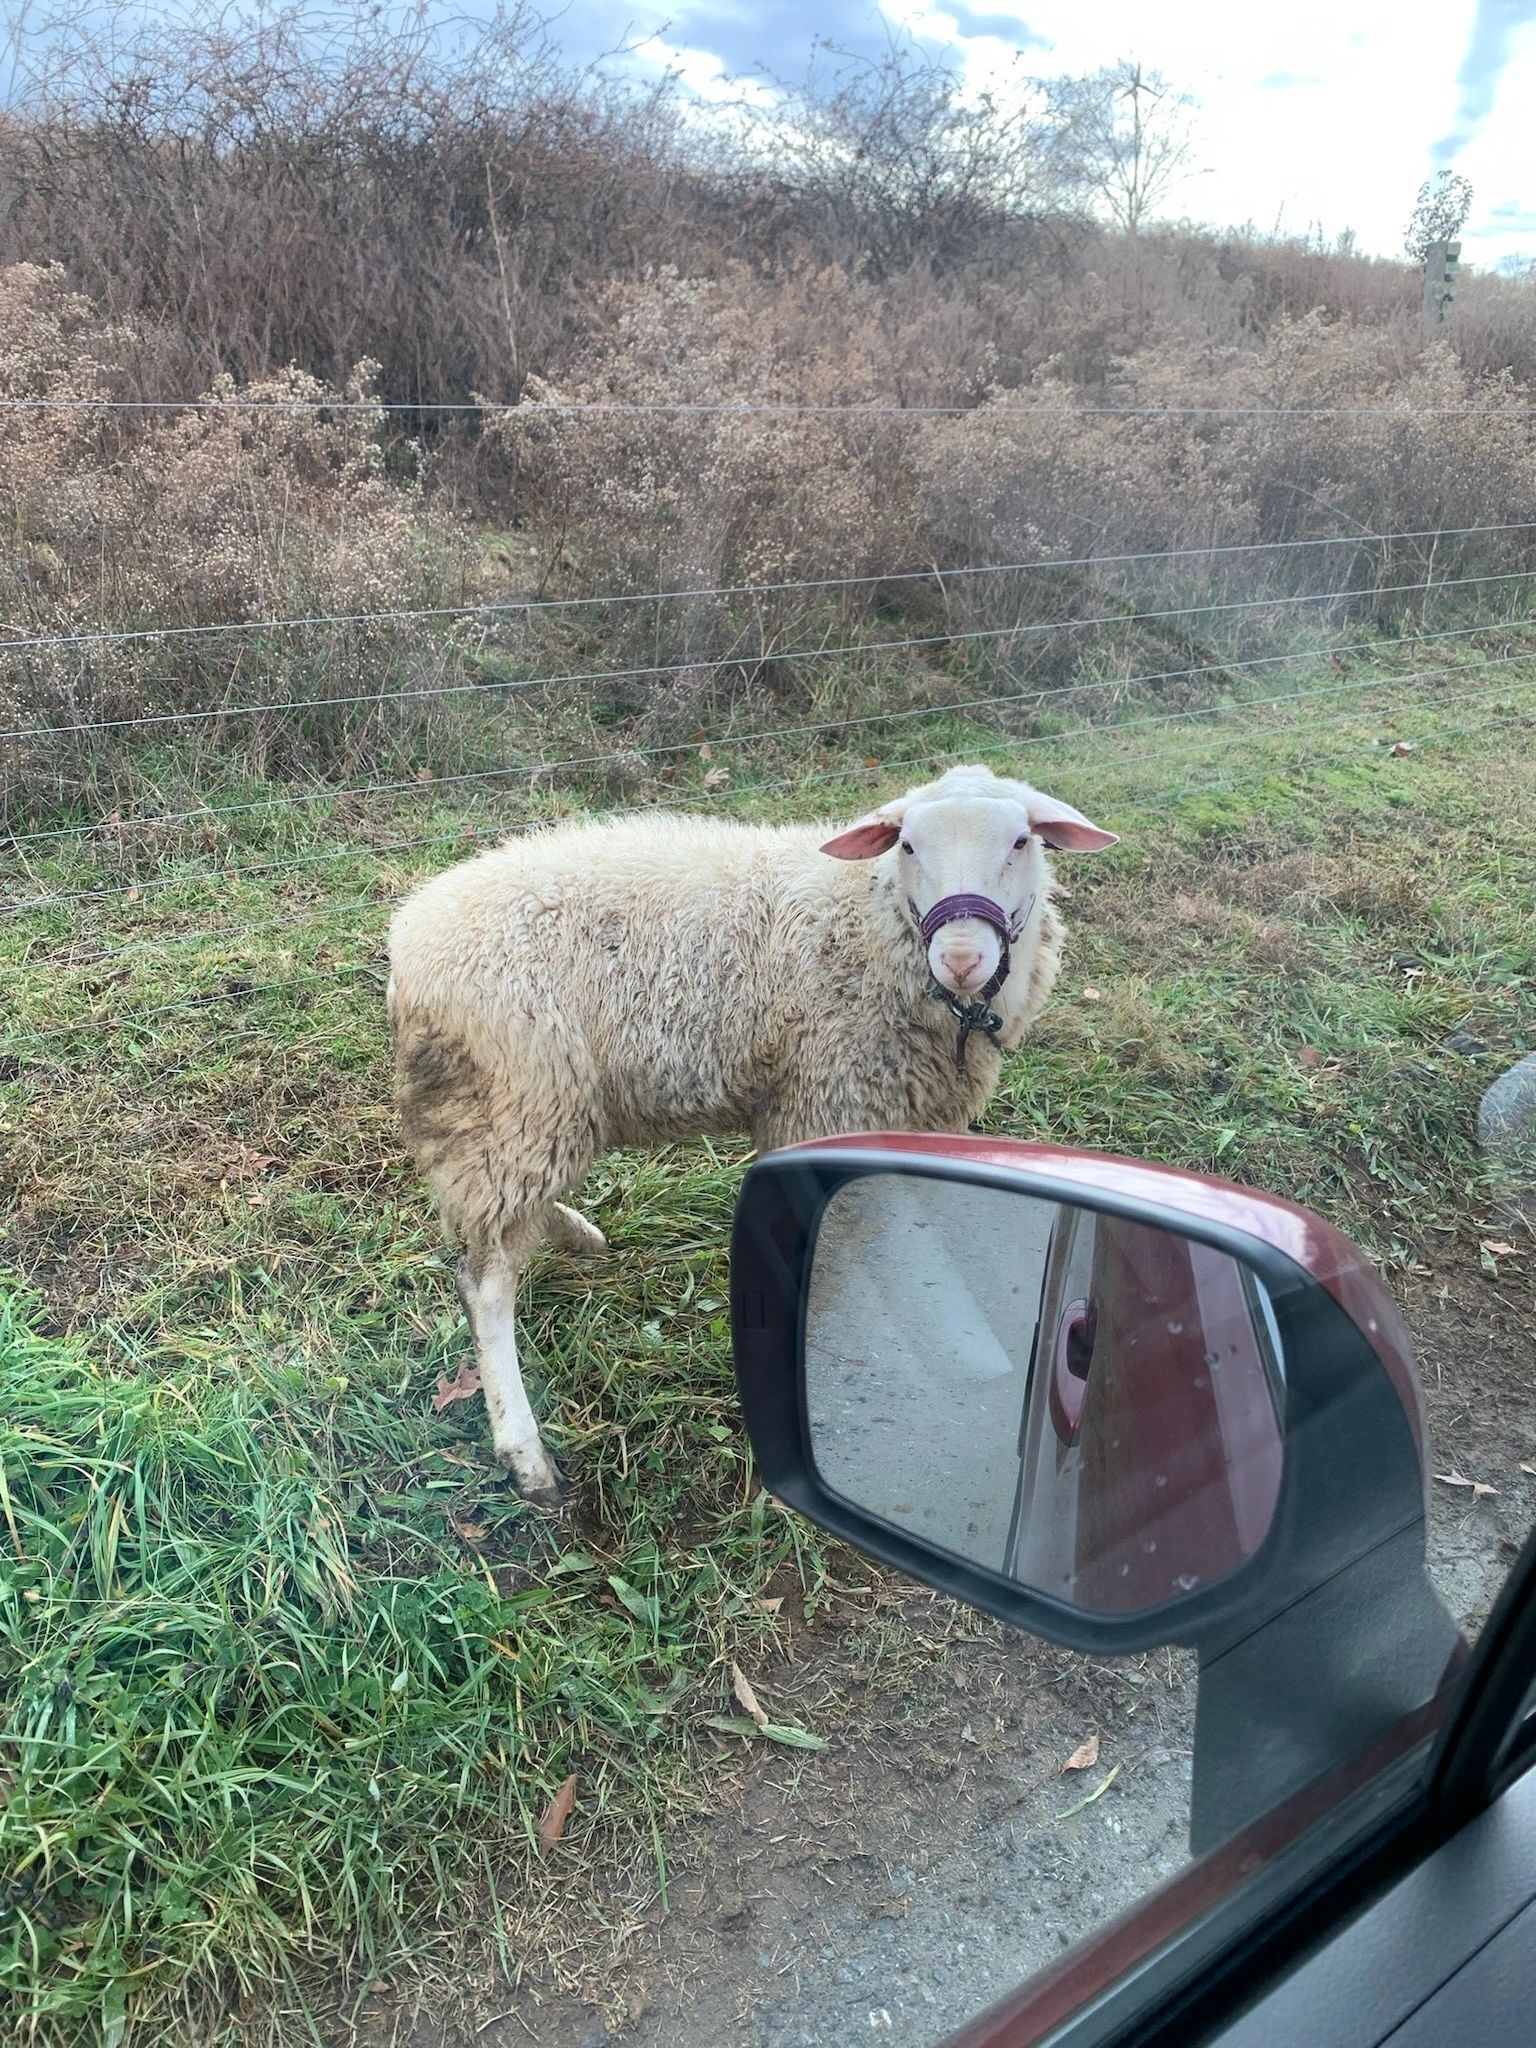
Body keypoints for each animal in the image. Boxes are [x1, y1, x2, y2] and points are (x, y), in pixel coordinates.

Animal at [386, 763, 1117, 1502]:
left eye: (1022, 841)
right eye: (908, 845)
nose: (962, 957)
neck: (868, 920)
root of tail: (409, 940)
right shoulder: (828, 1105)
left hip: (515, 1115)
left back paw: (575, 1232)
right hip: (520, 1103)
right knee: (485, 1282)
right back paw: (525, 1452)